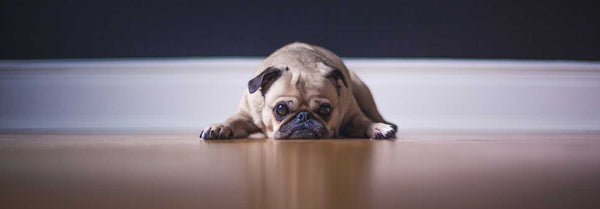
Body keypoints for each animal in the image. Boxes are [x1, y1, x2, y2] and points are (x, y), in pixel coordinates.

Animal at [202, 41, 396, 140]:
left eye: (325, 110)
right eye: (281, 109)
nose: (304, 116)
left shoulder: (352, 116)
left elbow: (364, 121)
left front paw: (377, 128)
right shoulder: (245, 116)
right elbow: (233, 120)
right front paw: (220, 127)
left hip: (362, 92)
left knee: (374, 114)